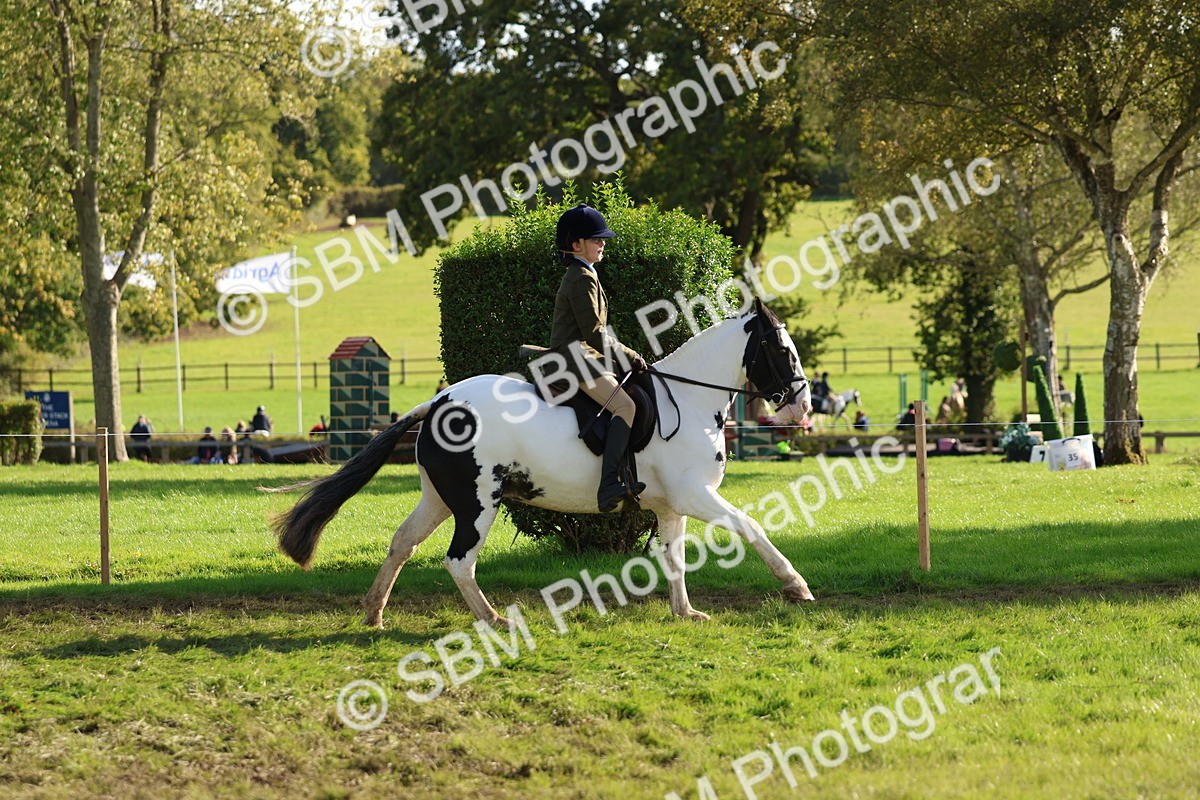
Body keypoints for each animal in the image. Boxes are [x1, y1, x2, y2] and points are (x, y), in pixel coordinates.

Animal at [268, 299, 814, 628]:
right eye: (782, 350)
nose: (802, 409)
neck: (688, 399)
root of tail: (439, 402)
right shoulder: (696, 495)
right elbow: (750, 526)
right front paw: (795, 585)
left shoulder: (671, 505)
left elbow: (675, 557)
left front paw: (686, 612)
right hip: (477, 503)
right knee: (459, 560)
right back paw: (493, 619)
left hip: (439, 498)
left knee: (403, 542)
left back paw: (374, 612)